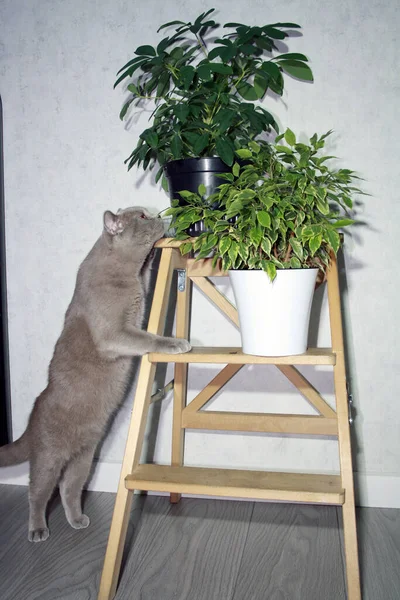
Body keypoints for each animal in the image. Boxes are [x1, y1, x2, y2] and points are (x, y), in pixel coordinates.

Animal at [0, 206, 191, 544]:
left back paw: (77, 520)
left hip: (84, 458)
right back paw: (37, 529)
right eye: (142, 216)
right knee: (38, 492)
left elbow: (146, 273)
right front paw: (175, 344)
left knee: (70, 487)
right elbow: (148, 338)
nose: (159, 215)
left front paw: (153, 253)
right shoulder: (114, 334)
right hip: (49, 457)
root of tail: (32, 419)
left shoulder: (139, 291)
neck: (122, 272)